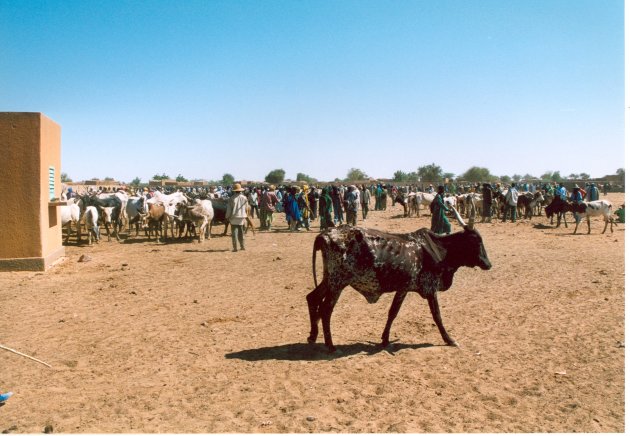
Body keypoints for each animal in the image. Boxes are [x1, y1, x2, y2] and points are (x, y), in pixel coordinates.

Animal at [306, 204, 494, 350]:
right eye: (476, 241)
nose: (488, 264)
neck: (440, 250)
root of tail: (325, 234)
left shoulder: (403, 289)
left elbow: (392, 313)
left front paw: (385, 339)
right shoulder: (429, 288)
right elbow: (436, 315)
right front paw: (449, 339)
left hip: (328, 279)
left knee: (312, 298)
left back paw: (313, 336)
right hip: (337, 283)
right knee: (325, 310)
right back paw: (330, 346)